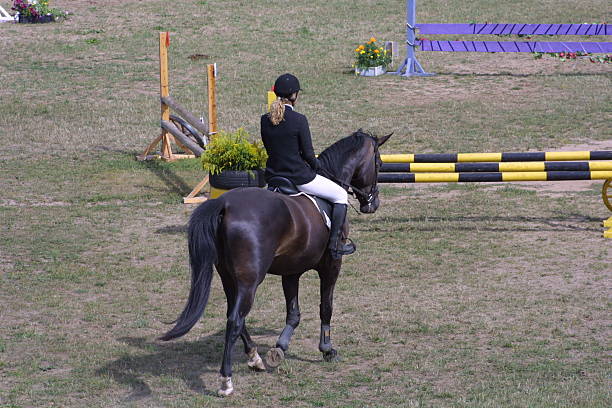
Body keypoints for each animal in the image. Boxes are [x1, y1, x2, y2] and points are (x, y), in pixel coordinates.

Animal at [161, 131, 392, 396]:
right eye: (379, 164)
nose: (372, 204)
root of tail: (224, 205)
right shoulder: (332, 265)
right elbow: (326, 306)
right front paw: (327, 350)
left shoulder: (291, 271)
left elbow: (293, 313)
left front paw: (279, 348)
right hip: (250, 281)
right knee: (235, 319)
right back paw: (226, 381)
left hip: (228, 276)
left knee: (234, 315)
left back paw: (255, 358)